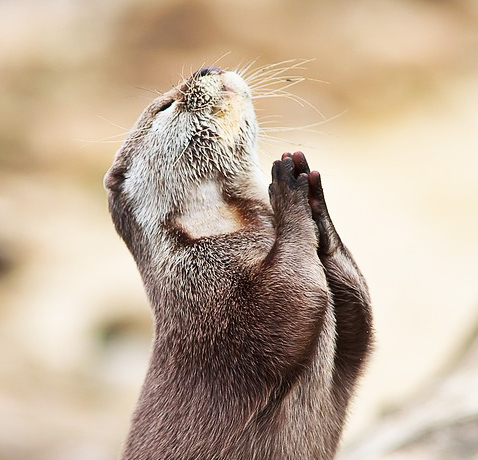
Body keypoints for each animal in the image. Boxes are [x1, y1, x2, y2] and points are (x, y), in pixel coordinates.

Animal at [105, 65, 374, 460]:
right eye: (166, 105)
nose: (206, 68)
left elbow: (360, 321)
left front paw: (315, 201)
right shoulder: (207, 298)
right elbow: (291, 299)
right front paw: (287, 189)